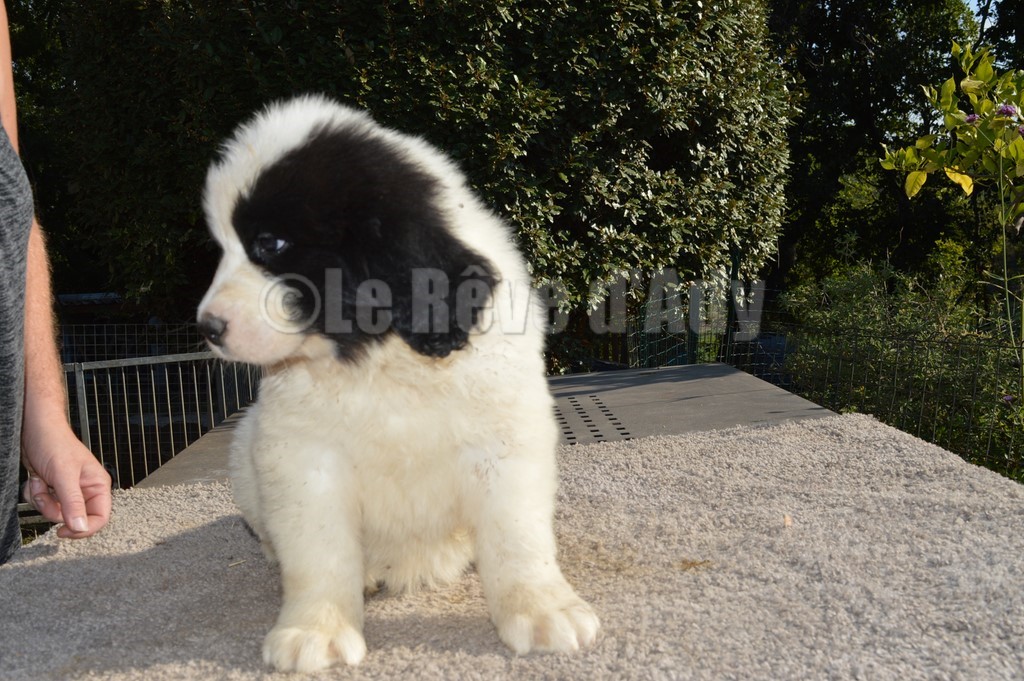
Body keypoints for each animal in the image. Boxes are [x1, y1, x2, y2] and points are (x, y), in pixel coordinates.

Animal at [196, 95, 599, 672]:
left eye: (269, 244)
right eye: (223, 246)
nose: (207, 328)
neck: (381, 356)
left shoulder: (504, 440)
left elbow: (517, 537)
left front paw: (543, 608)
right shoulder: (303, 455)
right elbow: (318, 549)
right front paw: (315, 628)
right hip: (245, 458)